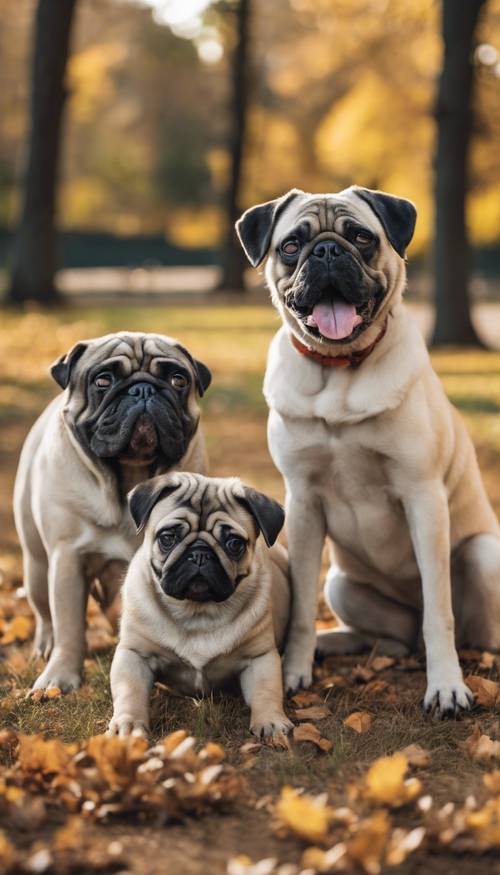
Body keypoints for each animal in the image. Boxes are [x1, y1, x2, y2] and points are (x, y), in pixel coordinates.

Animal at [14, 332, 211, 696]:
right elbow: (69, 627)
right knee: (45, 615)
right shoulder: (68, 559)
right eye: (103, 381)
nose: (144, 389)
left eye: (178, 380)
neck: (127, 477)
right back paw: (44, 648)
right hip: (36, 565)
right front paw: (59, 678)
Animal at [107, 472, 292, 740]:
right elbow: (130, 691)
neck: (197, 611)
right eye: (168, 538)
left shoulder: (259, 658)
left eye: (234, 544)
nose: (200, 554)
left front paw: (272, 721)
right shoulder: (135, 654)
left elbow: (267, 691)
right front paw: (129, 724)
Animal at [236, 186, 500, 720]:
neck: (338, 370)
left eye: (361, 237)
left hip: (484, 555)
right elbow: (300, 609)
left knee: (467, 635)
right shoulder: (303, 503)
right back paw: (332, 643)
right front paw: (294, 668)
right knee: (392, 641)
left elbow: (439, 611)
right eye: (291, 245)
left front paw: (447, 687)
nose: (326, 250)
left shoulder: (424, 498)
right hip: (339, 585)